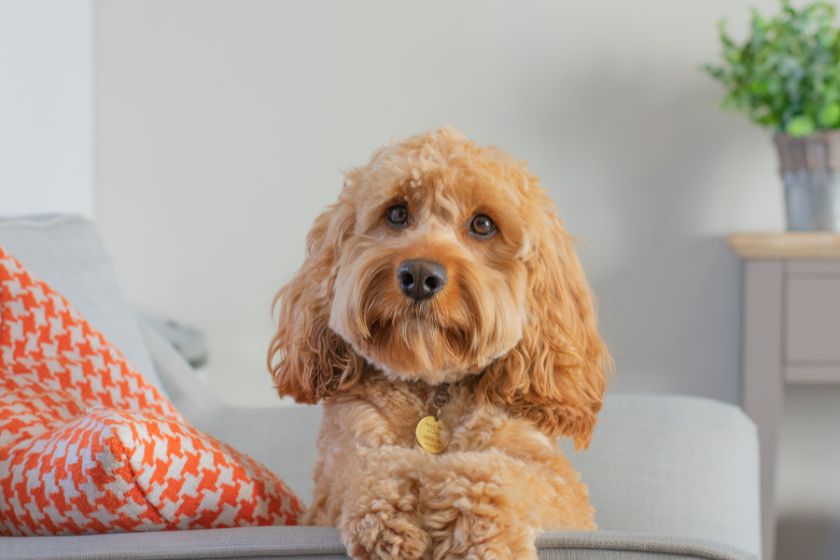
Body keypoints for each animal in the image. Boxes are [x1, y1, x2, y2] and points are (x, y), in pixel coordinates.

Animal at [270, 128, 612, 560]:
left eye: (483, 224)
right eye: (396, 213)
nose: (418, 274)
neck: (433, 389)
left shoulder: (559, 485)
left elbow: (499, 473)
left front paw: (480, 534)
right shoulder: (336, 472)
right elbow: (369, 465)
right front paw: (391, 516)